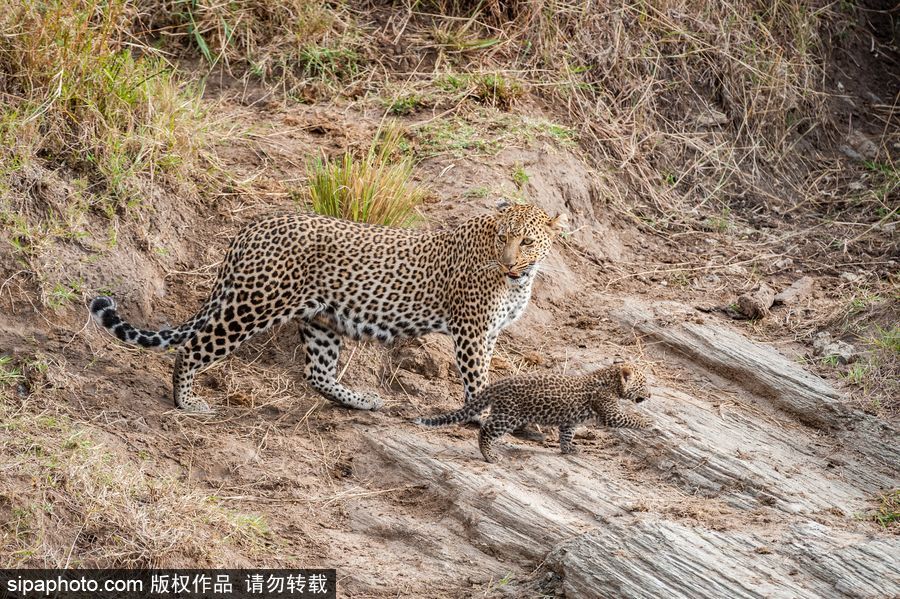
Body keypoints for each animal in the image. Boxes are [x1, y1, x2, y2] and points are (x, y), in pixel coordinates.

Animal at [88, 205, 560, 412]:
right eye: (503, 238)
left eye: (526, 241)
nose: (508, 262)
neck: (521, 278)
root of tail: (253, 227)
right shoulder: (473, 332)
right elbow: (477, 381)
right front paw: (487, 418)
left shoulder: (489, 333)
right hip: (253, 305)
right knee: (191, 349)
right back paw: (187, 402)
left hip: (320, 318)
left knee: (316, 373)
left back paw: (361, 401)